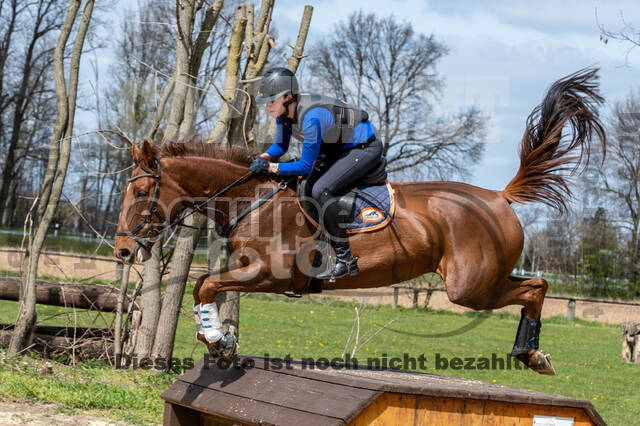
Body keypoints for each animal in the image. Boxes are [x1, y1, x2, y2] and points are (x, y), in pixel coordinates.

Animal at [114, 68, 604, 374]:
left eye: (140, 193)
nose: (121, 250)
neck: (251, 200)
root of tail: (499, 198)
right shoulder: (250, 269)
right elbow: (203, 284)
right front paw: (220, 343)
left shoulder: (272, 274)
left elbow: (207, 285)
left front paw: (219, 342)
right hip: (484, 277)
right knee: (531, 285)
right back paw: (530, 354)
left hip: (470, 286)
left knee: (535, 287)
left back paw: (532, 356)